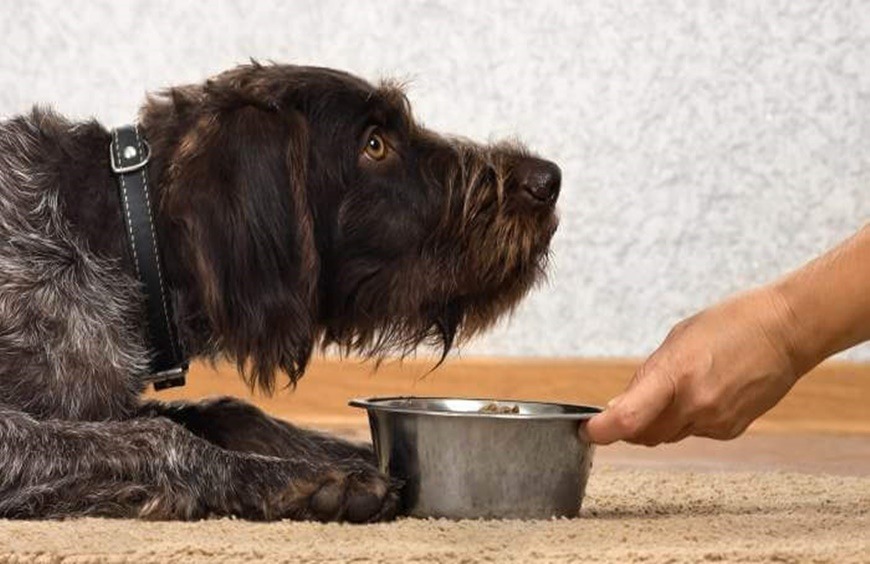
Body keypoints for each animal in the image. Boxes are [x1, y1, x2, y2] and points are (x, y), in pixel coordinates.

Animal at [0, 60, 564, 520]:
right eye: (374, 144)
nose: (548, 179)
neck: (123, 235)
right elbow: (159, 437)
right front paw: (306, 478)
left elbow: (229, 411)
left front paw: (352, 452)